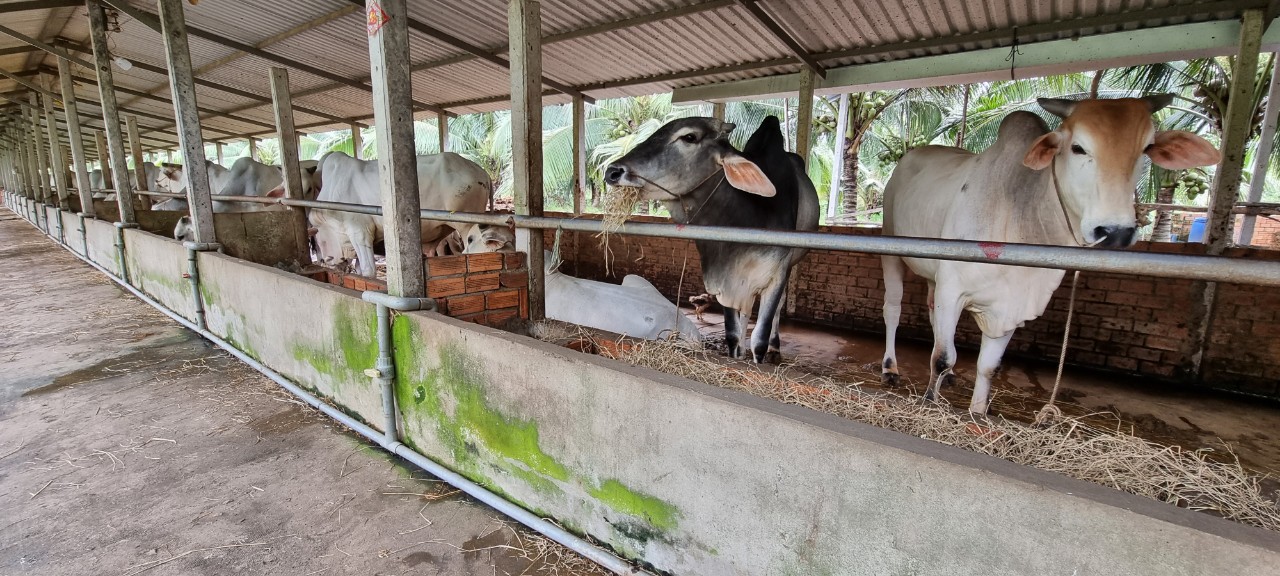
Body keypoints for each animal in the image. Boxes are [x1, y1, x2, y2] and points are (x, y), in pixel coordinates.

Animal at [309, 151, 491, 276]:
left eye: (317, 243)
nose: (326, 260)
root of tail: (482, 172)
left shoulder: (359, 231)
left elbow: (367, 270)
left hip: (466, 226)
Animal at [605, 116, 819, 363]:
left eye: (689, 137)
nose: (612, 171)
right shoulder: (725, 279)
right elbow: (733, 334)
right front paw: (737, 354)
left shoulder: (777, 275)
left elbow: (759, 340)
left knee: (777, 308)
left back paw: (776, 347)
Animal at [880, 96, 1220, 414]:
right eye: (1078, 148)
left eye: (1146, 148)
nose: (1115, 231)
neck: (1018, 213)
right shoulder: (952, 289)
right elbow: (942, 357)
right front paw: (929, 402)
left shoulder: (1011, 303)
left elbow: (988, 366)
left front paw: (977, 413)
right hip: (892, 249)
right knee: (894, 310)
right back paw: (890, 368)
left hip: (932, 274)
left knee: (932, 315)